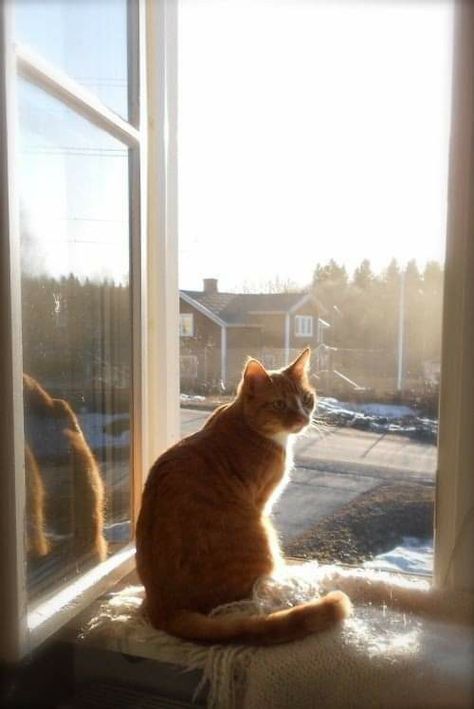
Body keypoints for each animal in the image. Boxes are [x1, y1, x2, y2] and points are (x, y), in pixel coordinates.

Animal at [136, 348, 352, 640]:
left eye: (306, 399)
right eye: (279, 404)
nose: (303, 419)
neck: (246, 423)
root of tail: (163, 608)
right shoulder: (262, 501)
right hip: (261, 531)